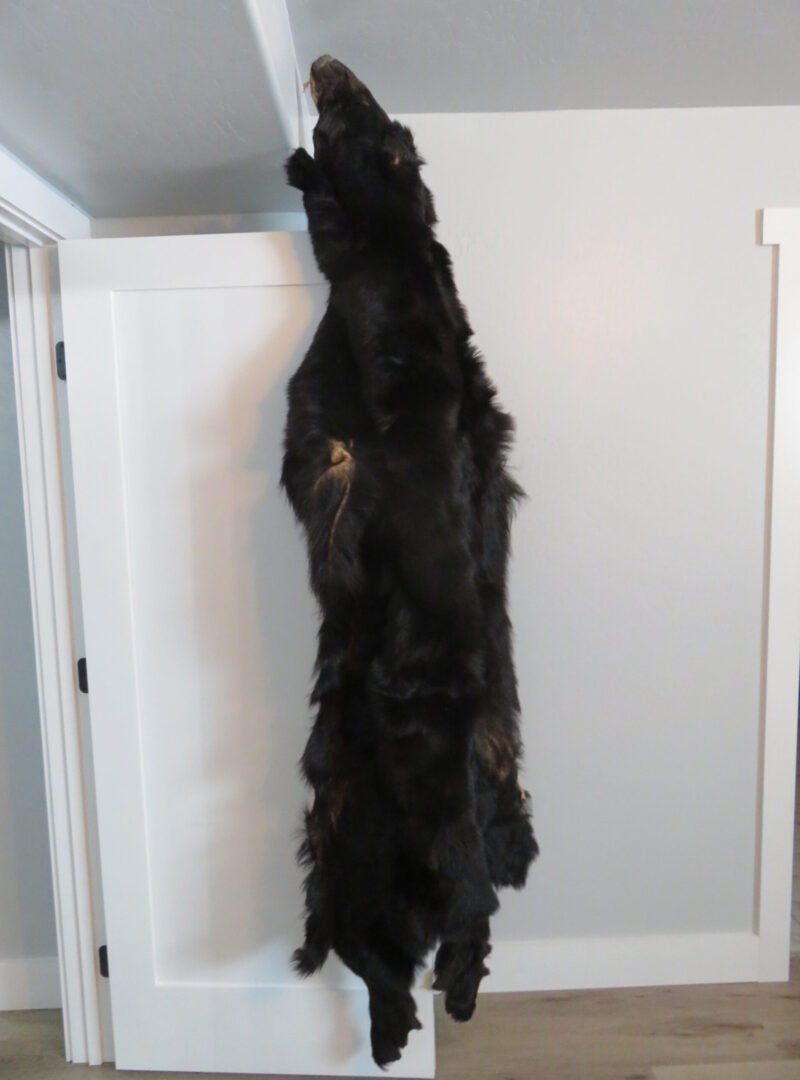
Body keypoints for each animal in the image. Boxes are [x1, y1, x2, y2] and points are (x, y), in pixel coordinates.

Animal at [281, 54, 538, 1067]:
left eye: (361, 99)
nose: (322, 61)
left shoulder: (373, 287)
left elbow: (333, 223)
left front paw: (303, 167)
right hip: (342, 838)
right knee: (425, 943)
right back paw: (433, 1009)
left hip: (407, 812)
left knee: (442, 923)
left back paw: (409, 1026)